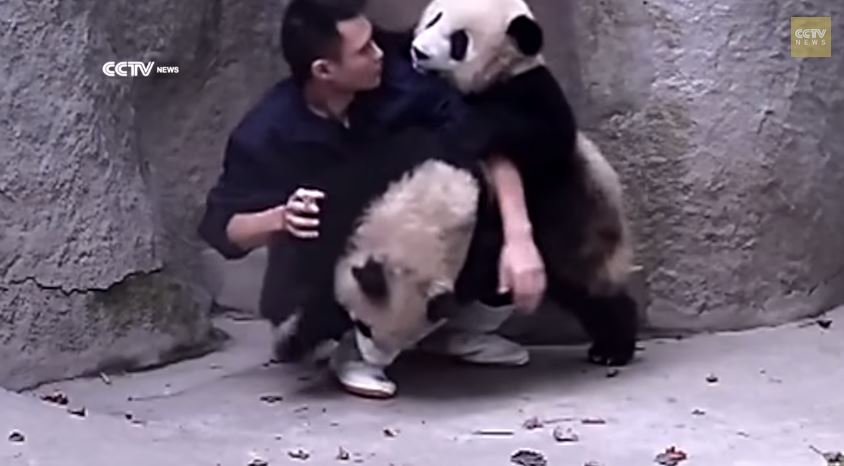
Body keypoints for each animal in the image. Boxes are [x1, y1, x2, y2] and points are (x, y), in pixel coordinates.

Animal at [410, 0, 639, 366]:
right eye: (434, 18)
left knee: (598, 295)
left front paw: (466, 128)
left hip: (586, 232)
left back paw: (613, 347)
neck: (500, 74)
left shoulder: (533, 89)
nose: (419, 51)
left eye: (459, 40)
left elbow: (545, 133)